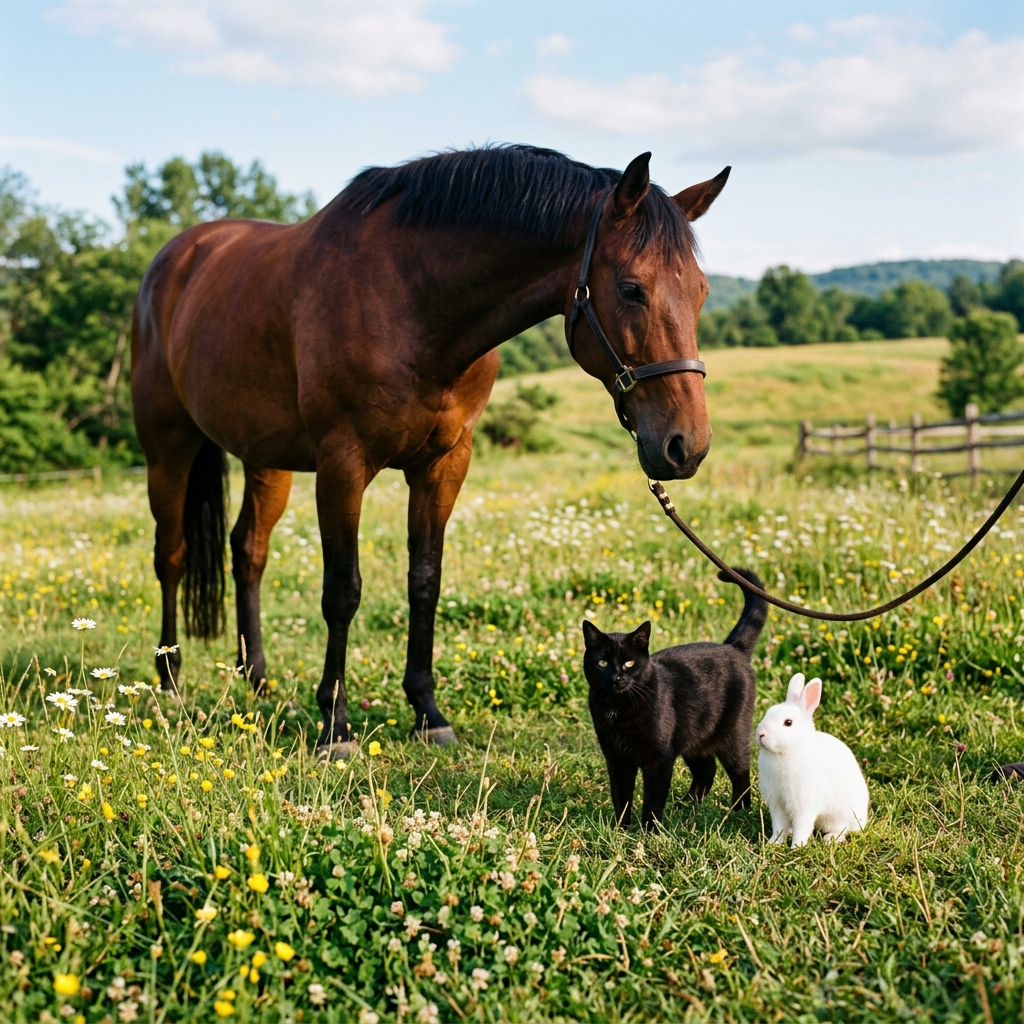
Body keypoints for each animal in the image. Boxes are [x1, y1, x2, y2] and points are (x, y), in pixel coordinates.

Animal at [130, 144, 728, 757]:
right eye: (632, 289)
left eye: (702, 291)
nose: (686, 446)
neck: (411, 299)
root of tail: (176, 259)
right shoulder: (342, 462)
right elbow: (342, 591)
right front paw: (335, 724)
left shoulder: (443, 464)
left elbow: (425, 581)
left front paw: (426, 712)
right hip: (167, 444)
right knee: (171, 554)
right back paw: (170, 681)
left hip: (265, 458)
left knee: (248, 550)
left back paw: (257, 680)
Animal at [756, 673, 869, 848]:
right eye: (767, 713)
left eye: (788, 722)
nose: (761, 734)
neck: (785, 752)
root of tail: (863, 821)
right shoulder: (777, 804)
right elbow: (779, 827)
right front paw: (773, 843)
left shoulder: (804, 806)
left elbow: (802, 827)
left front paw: (796, 847)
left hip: (840, 817)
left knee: (844, 829)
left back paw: (830, 838)